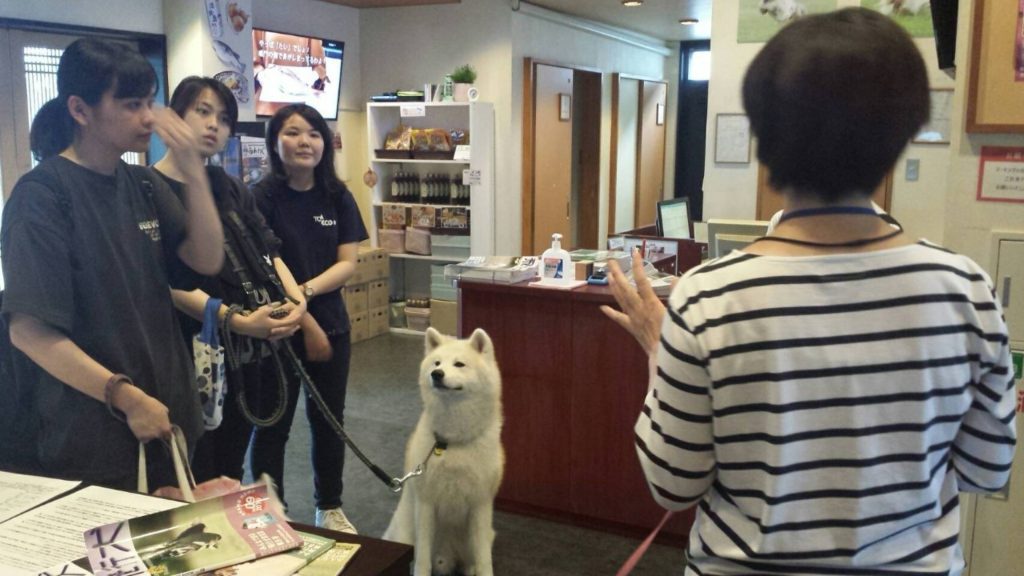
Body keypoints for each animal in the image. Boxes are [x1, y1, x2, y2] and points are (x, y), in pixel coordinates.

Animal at [385, 327, 503, 573]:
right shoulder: (426, 504)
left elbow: (484, 559)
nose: (436, 374)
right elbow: (422, 557)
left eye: (459, 364)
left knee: (472, 560)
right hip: (404, 534)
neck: (452, 442)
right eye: (436, 362)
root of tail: (446, 557)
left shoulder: (480, 504)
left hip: (477, 539)